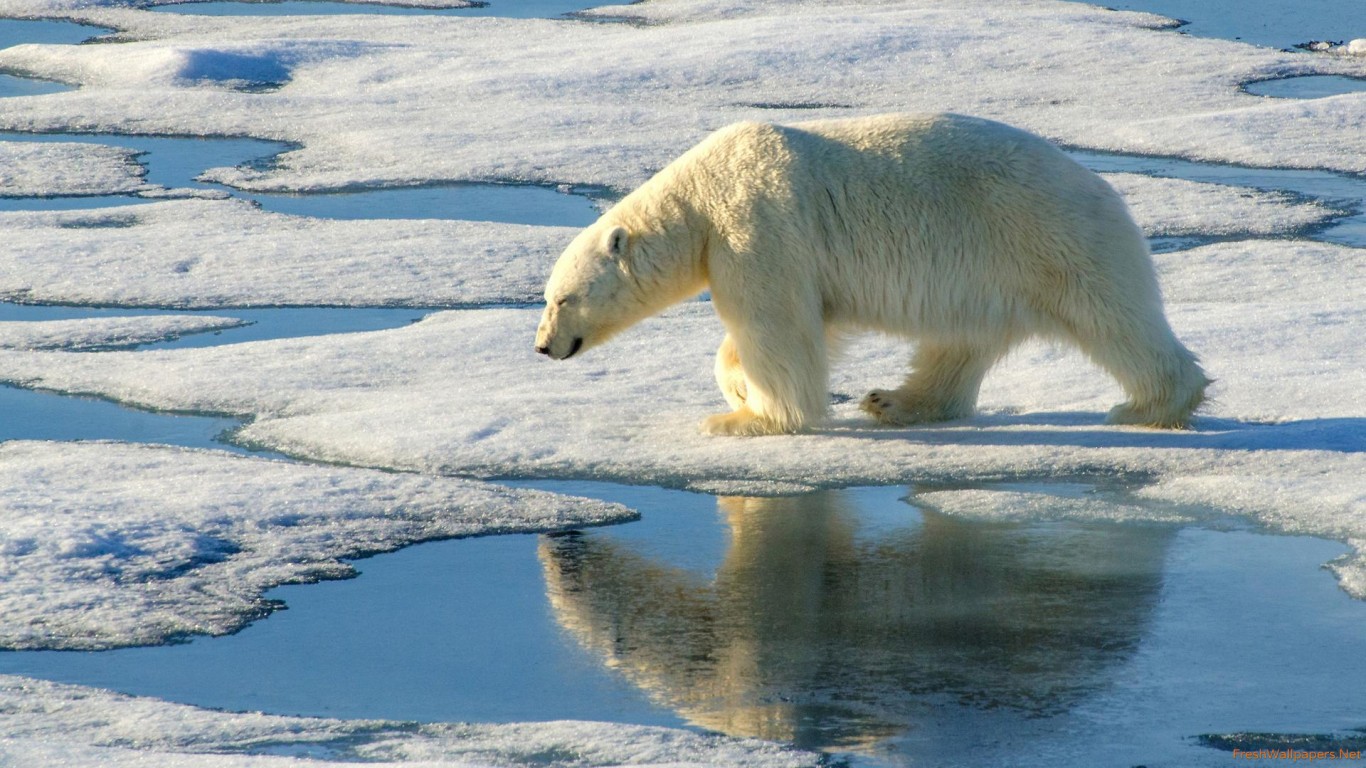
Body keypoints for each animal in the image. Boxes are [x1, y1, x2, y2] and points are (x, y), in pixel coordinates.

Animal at [535, 113, 1209, 436]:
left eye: (563, 299)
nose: (543, 347)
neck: (700, 197)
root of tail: (1105, 190)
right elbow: (810, 322)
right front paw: (739, 391)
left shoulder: (756, 225)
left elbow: (777, 327)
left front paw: (745, 418)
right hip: (990, 274)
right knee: (959, 343)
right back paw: (893, 400)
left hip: (1050, 238)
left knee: (1114, 319)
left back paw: (1149, 405)